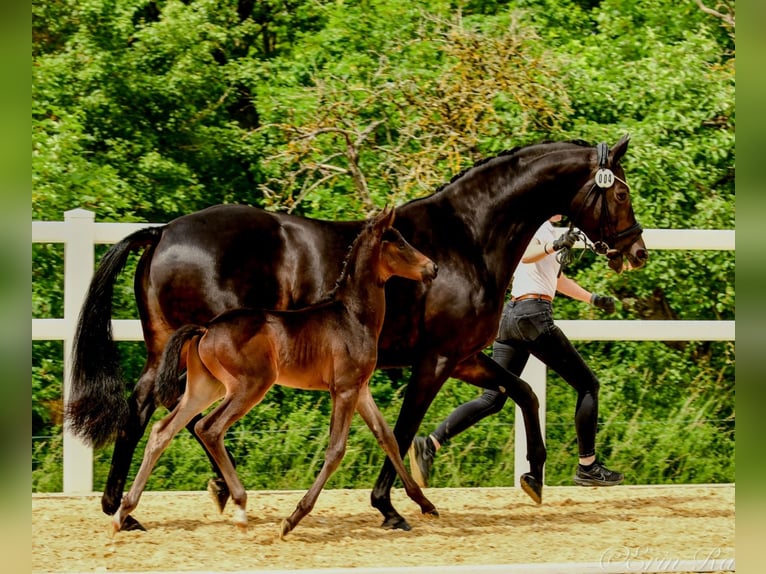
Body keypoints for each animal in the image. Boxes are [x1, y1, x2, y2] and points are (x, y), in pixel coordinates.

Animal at [111, 208, 440, 540]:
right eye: (399, 243)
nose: (432, 268)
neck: (352, 316)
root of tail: (206, 328)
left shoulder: (361, 389)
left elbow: (387, 438)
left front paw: (424, 504)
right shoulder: (345, 389)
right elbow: (336, 450)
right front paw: (292, 519)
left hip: (205, 388)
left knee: (162, 431)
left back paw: (123, 512)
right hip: (250, 386)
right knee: (209, 428)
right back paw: (238, 507)